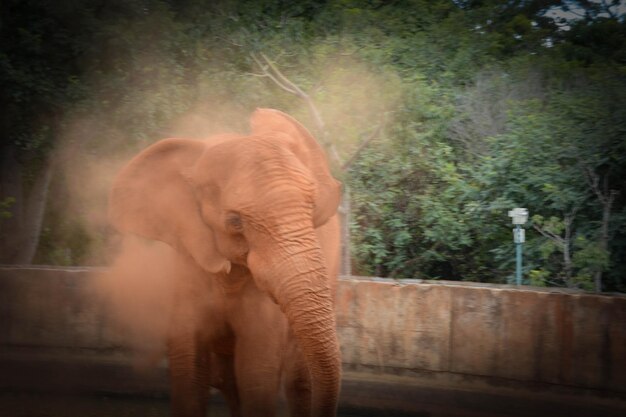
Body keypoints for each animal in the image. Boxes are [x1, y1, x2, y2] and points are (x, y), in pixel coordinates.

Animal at [108, 108, 342, 416]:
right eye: (235, 222)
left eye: (312, 209)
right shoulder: (187, 262)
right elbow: (189, 368)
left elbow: (256, 370)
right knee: (228, 381)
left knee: (296, 380)